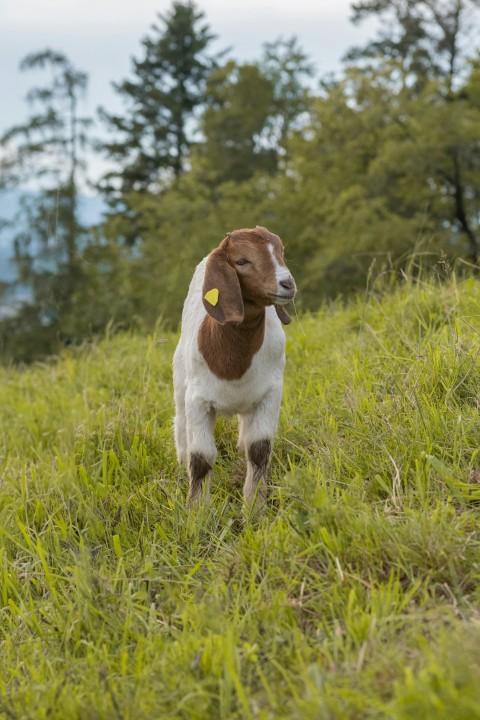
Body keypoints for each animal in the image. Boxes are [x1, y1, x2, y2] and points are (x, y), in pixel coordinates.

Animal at [172, 226, 297, 506]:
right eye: (242, 261)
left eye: (281, 252)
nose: (288, 284)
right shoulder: (197, 400)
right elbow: (201, 457)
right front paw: (196, 510)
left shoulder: (271, 393)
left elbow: (259, 449)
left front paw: (253, 505)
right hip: (180, 382)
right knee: (182, 424)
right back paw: (181, 464)